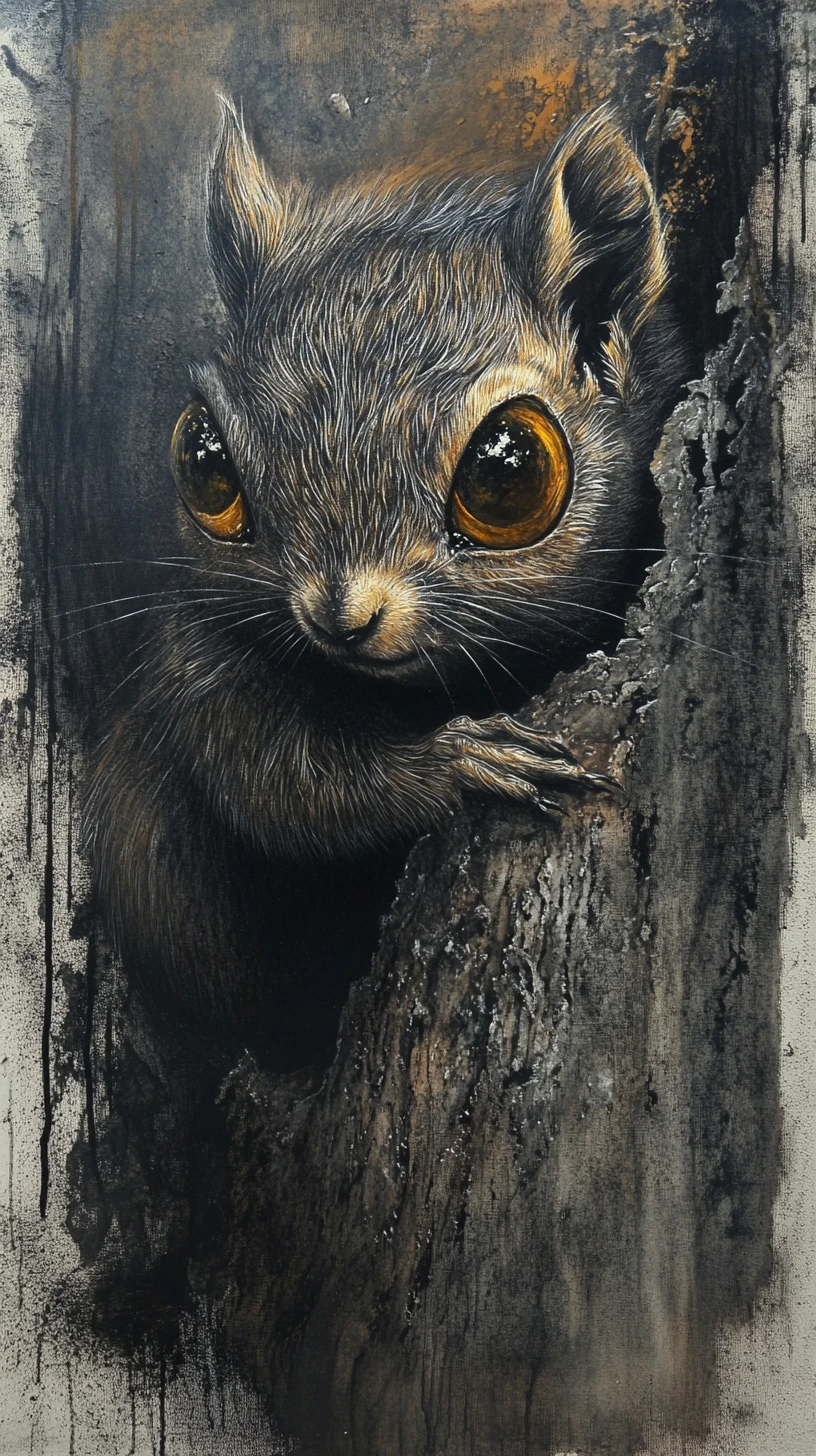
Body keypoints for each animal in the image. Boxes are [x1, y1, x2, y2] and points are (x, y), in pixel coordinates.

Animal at [85, 101, 681, 1069]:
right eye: (204, 460)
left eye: (508, 474)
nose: (342, 616)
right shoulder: (203, 650)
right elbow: (270, 771)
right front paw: (464, 760)